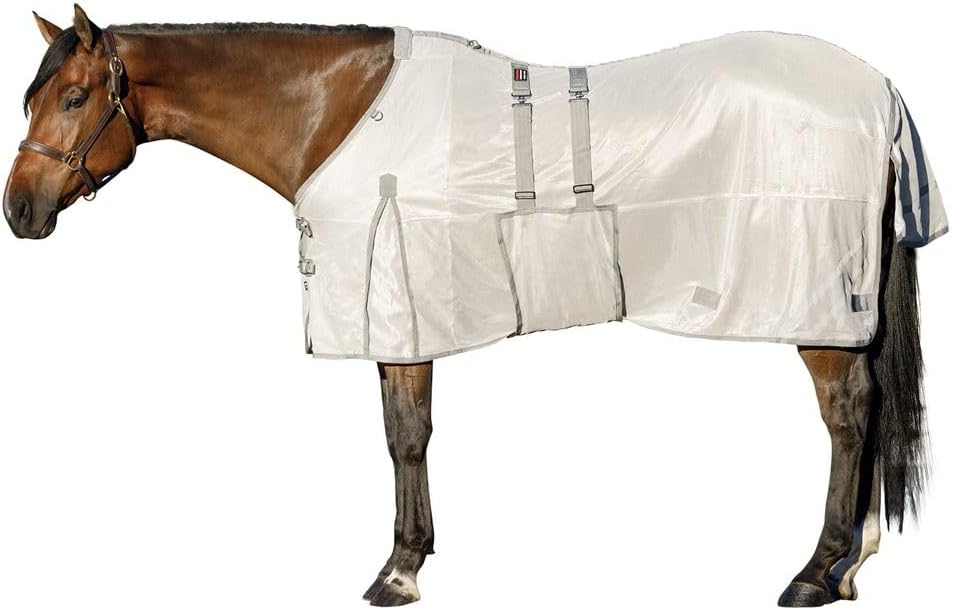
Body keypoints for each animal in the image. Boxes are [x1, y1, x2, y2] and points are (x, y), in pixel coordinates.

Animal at [3, 6, 945, 607]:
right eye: (31, 98)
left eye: (76, 97)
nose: (19, 211)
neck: (338, 110)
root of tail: (879, 90)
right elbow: (403, 433)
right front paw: (409, 558)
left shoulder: (402, 302)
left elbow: (405, 437)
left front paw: (398, 572)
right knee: (865, 410)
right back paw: (850, 567)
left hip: (819, 304)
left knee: (847, 415)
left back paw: (814, 574)